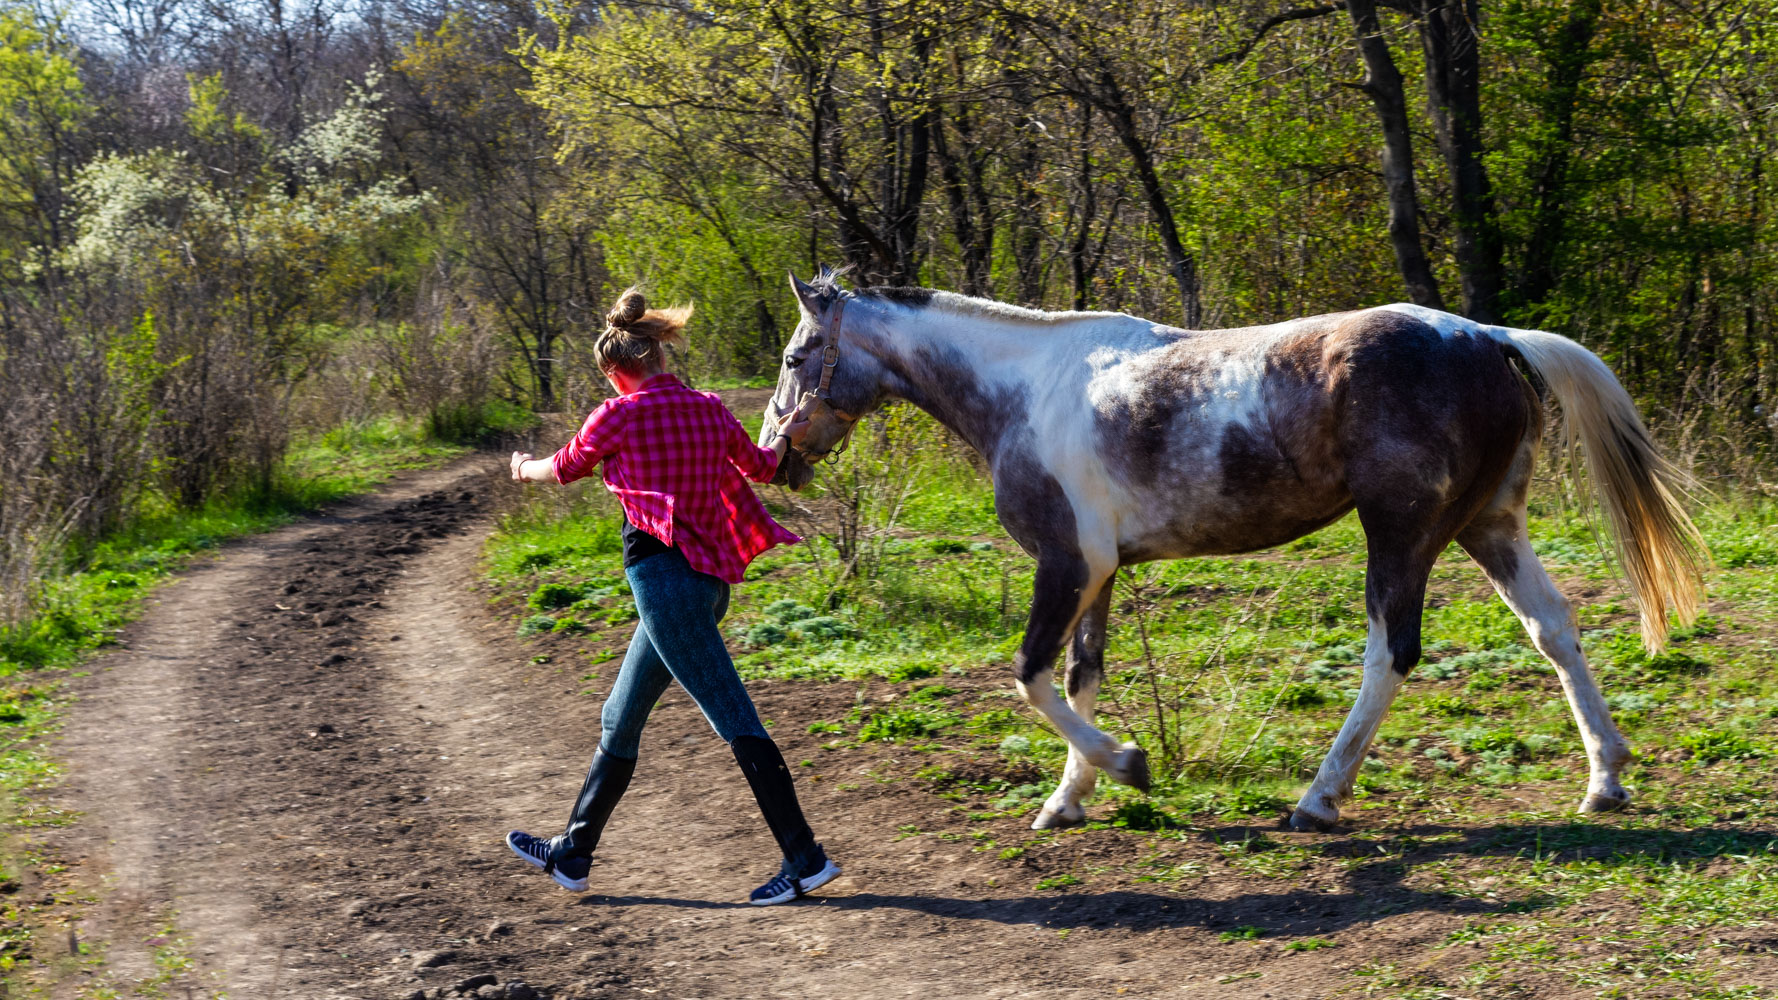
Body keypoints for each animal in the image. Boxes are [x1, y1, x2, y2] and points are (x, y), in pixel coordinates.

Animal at [757, 268, 1699, 829]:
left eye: (798, 355)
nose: (776, 455)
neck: (1025, 391)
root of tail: (1485, 336)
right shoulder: (1100, 572)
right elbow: (1079, 677)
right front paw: (1069, 800)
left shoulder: (1066, 562)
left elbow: (1029, 676)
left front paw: (1128, 766)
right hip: (1488, 526)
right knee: (1554, 628)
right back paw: (1605, 778)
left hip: (1401, 532)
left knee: (1389, 653)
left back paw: (1319, 798)